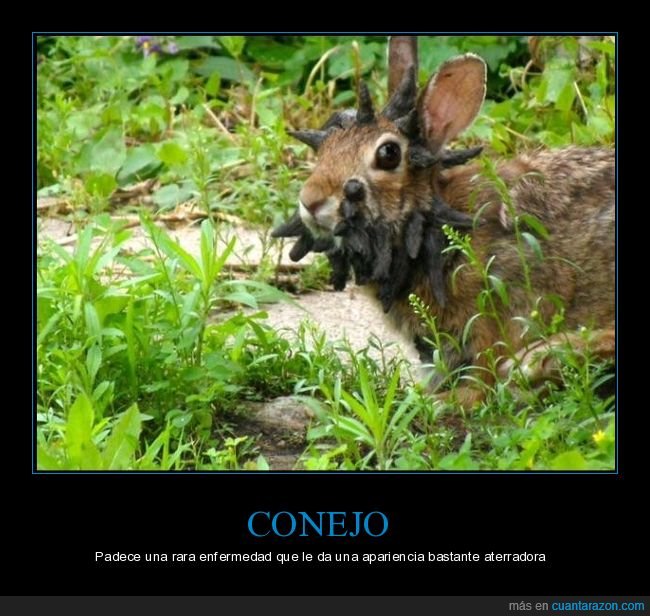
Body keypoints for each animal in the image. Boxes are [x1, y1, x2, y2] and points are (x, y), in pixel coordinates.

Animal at [273, 36, 615, 408]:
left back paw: (542, 360)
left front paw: (443, 401)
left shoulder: (494, 314)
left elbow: (483, 378)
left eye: (388, 154)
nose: (310, 200)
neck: (434, 227)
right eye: (326, 146)